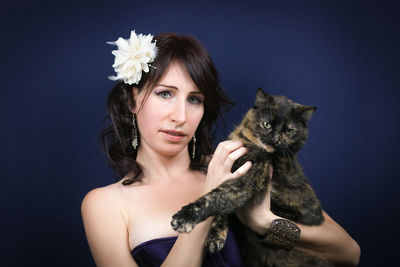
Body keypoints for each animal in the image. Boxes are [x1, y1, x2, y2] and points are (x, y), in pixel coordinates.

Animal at [171, 89, 332, 266]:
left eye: (288, 131)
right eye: (267, 124)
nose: (275, 140)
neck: (249, 144)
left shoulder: (247, 182)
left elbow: (216, 197)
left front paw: (186, 217)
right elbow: (224, 211)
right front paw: (217, 237)